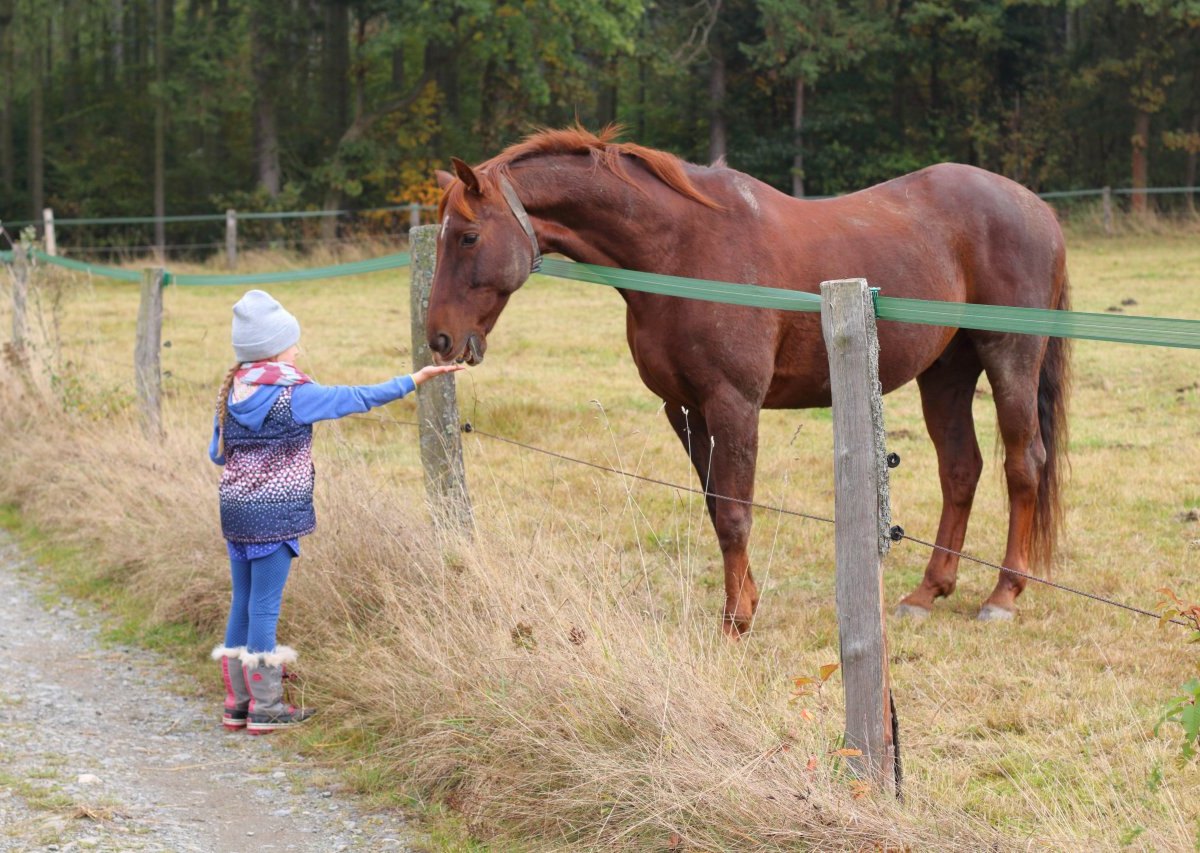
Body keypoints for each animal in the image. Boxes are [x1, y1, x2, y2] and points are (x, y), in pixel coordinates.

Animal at [429, 125, 1070, 633]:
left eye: (467, 236)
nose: (438, 339)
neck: (682, 250)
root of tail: (1036, 208)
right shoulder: (684, 409)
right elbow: (718, 507)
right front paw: (746, 602)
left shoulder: (732, 404)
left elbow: (736, 513)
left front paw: (736, 619)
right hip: (945, 373)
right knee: (960, 469)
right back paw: (927, 592)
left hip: (1010, 358)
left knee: (1024, 464)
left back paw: (1003, 595)